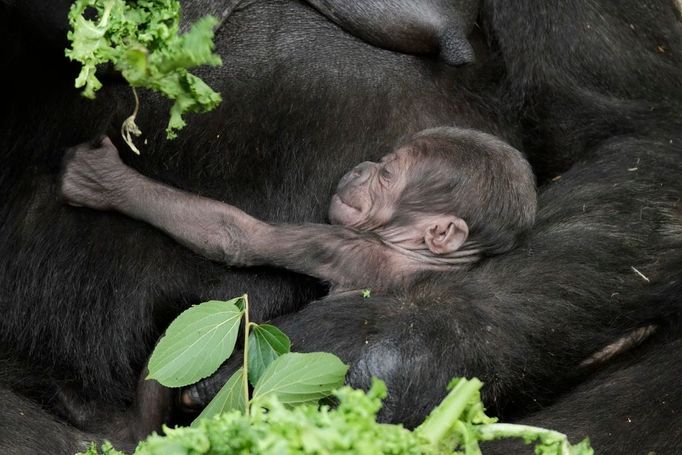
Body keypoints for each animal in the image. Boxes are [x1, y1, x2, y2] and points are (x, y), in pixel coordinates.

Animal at [58, 126, 536, 294]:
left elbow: (236, 236)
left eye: (387, 175)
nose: (364, 167)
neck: (418, 255)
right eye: (383, 163)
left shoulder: (341, 246)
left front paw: (104, 180)